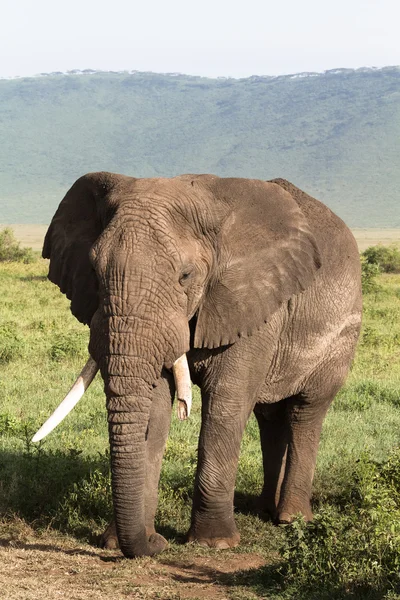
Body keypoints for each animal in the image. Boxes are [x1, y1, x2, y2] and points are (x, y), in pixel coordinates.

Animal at [36, 173, 362, 556]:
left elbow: (227, 402)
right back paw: (264, 510)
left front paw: (215, 543)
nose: (156, 544)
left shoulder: (253, 302)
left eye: (185, 276)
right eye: (93, 270)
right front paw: (120, 542)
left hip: (342, 332)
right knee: (270, 417)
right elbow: (154, 406)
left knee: (305, 411)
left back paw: (291, 519)